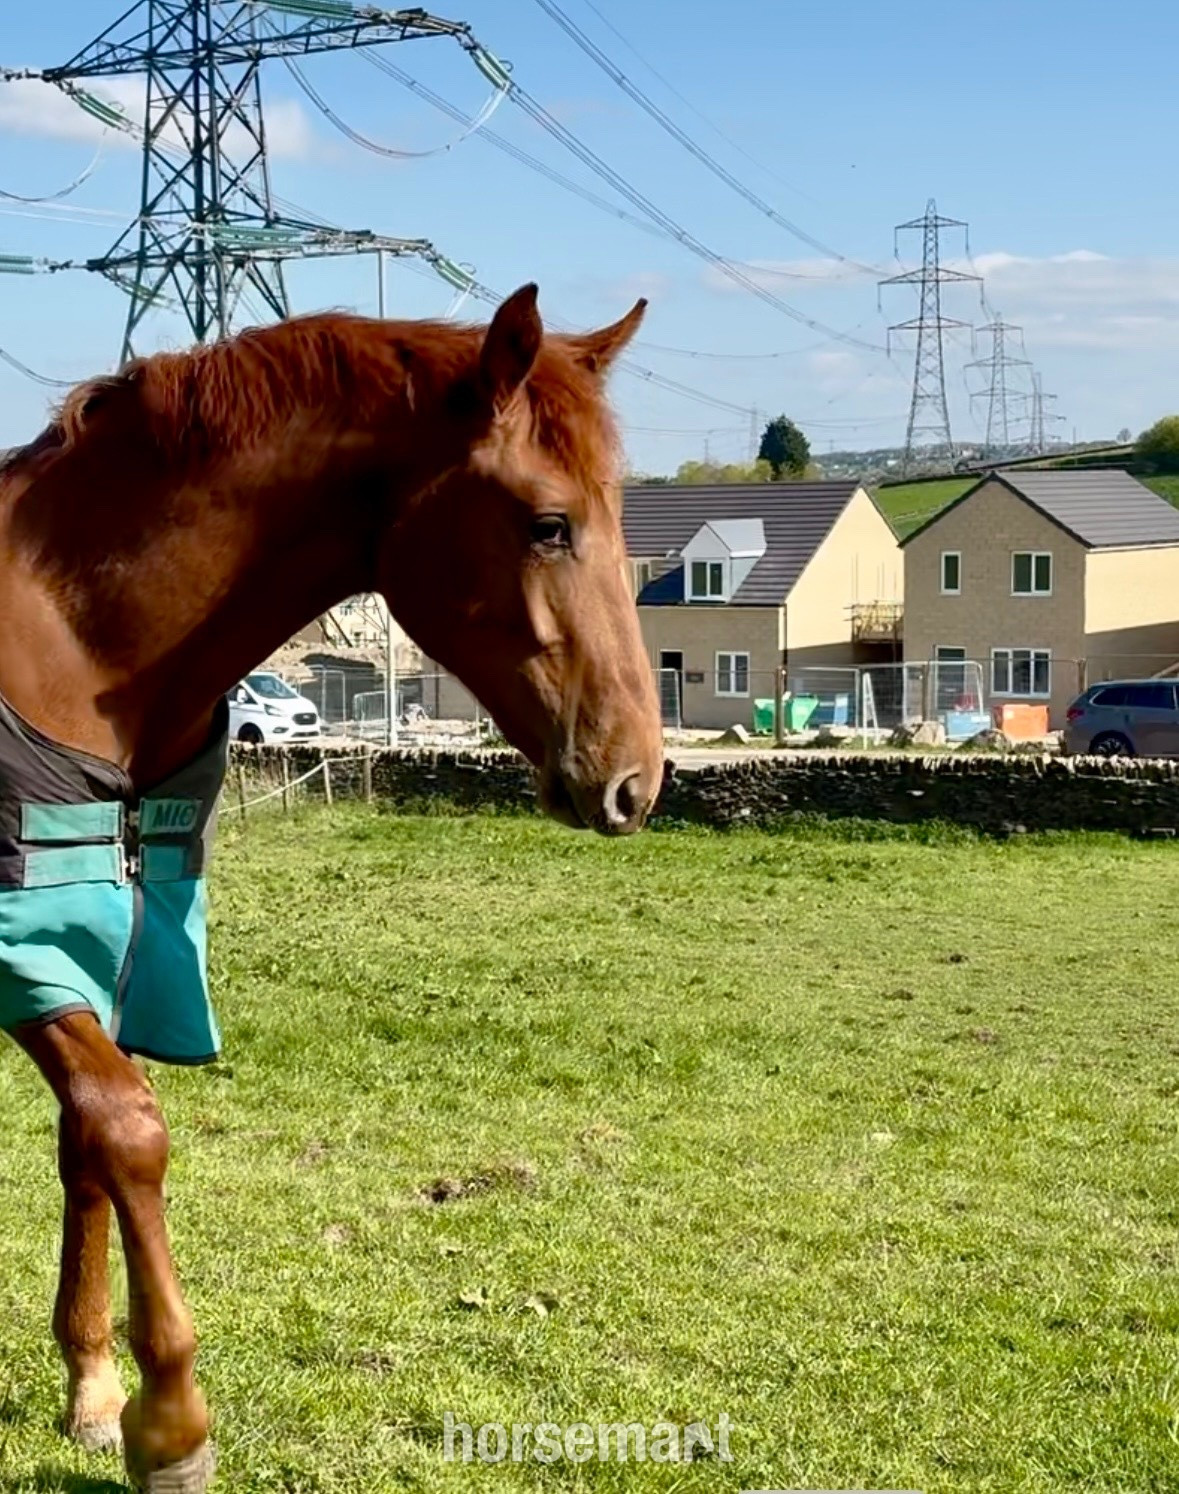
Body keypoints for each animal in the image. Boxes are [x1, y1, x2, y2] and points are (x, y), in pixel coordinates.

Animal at [0, 283, 663, 1492]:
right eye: (548, 523)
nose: (638, 779)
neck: (64, 637)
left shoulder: (113, 940)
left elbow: (84, 1147)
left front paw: (92, 1387)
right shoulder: (24, 943)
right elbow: (128, 1130)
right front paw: (170, 1421)